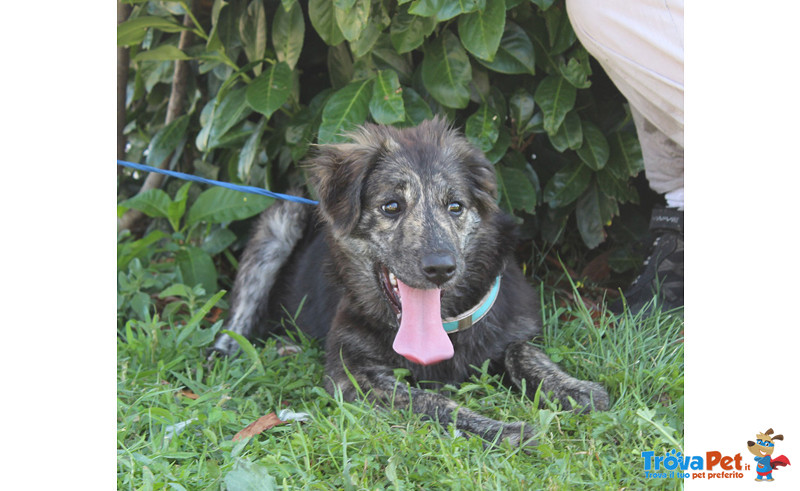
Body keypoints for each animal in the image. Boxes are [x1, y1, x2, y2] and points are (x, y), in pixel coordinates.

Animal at [211, 117, 608, 444]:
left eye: (455, 206)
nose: (441, 268)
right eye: (391, 206)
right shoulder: (354, 374)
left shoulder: (512, 324)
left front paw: (574, 389)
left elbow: (521, 350)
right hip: (281, 219)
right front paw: (502, 429)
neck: (445, 329)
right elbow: (434, 401)